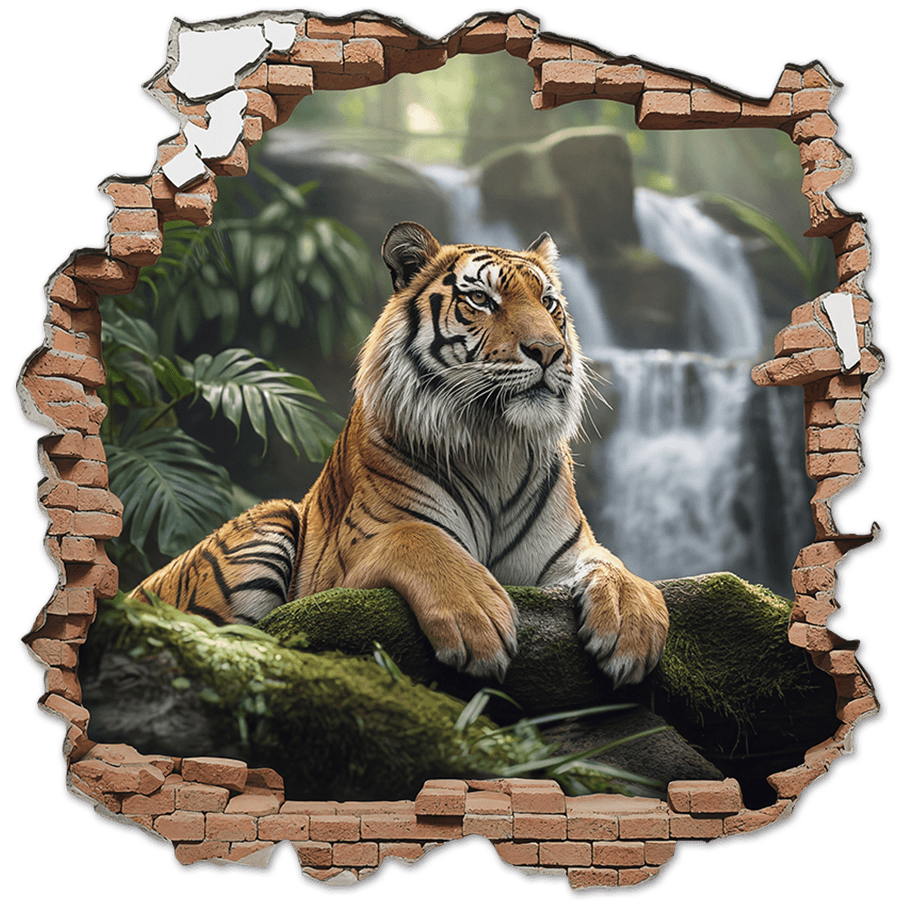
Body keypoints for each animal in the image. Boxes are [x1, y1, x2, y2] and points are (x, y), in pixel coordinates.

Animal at [130, 222, 668, 688]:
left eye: (549, 303)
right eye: (481, 299)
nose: (550, 350)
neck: (495, 443)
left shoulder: (564, 555)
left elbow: (611, 562)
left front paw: (633, 623)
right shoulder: (350, 564)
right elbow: (418, 537)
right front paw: (478, 617)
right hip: (271, 520)